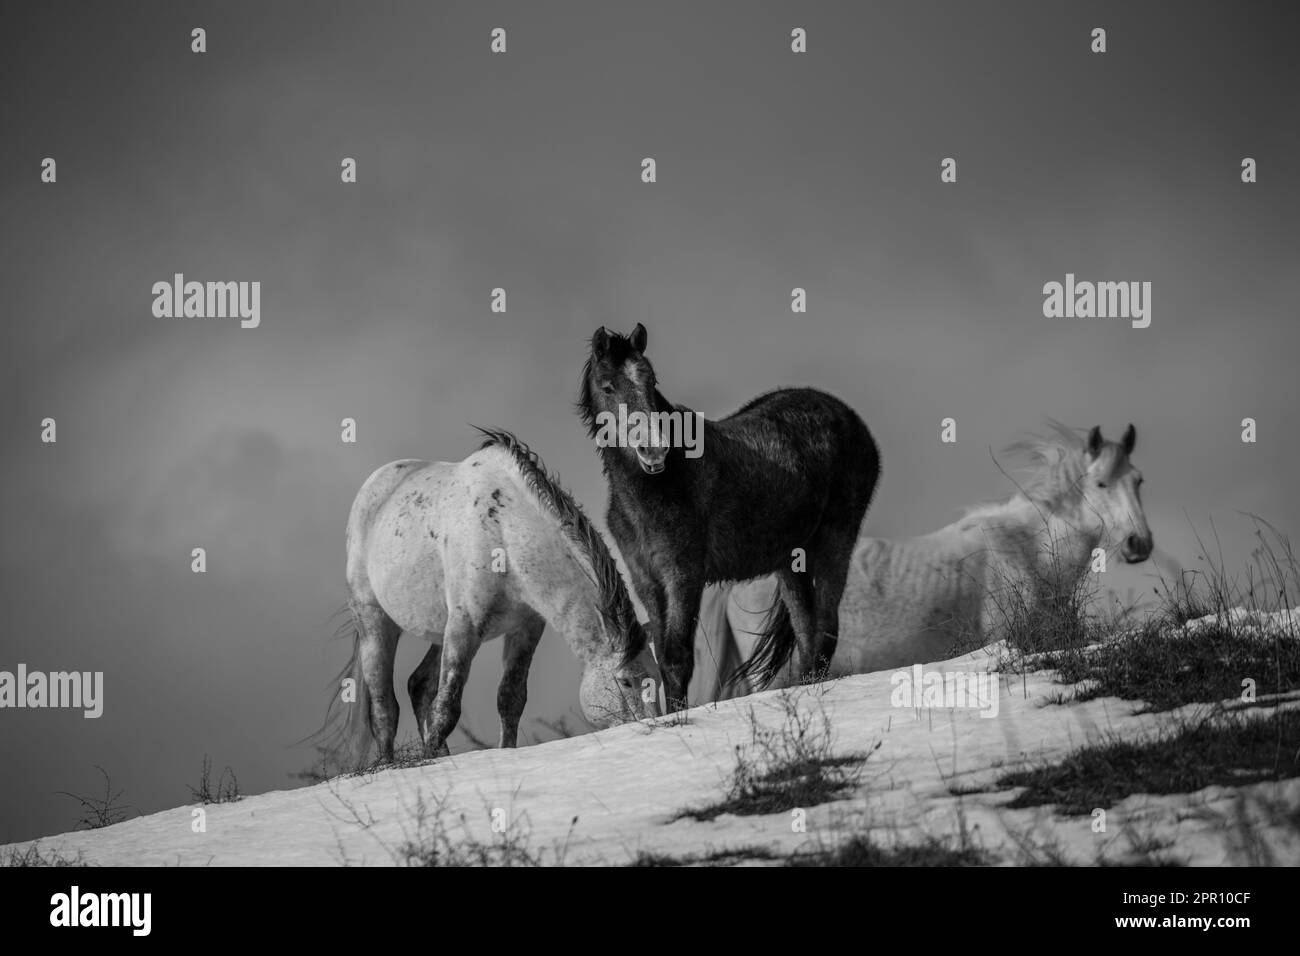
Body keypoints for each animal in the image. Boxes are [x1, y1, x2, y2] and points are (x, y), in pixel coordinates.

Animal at [330, 429, 660, 764]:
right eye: (626, 680)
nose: (650, 727)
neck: (504, 532)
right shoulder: (465, 627)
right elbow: (446, 708)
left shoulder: (526, 628)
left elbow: (510, 698)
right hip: (375, 623)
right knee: (383, 705)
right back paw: (389, 763)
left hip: (439, 631)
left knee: (419, 685)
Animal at [579, 325, 883, 707]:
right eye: (608, 386)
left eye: (651, 380)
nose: (655, 449)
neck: (658, 487)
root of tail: (848, 418)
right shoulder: (646, 580)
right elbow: (663, 655)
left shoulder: (684, 575)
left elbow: (678, 657)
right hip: (790, 562)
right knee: (807, 633)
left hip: (836, 538)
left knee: (826, 629)